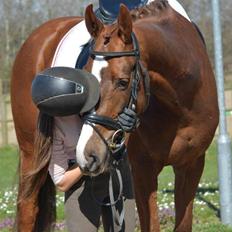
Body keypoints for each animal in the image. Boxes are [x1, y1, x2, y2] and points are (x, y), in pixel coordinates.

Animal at [10, 0, 218, 232]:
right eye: (85, 76)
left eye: (123, 82)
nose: (88, 154)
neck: (180, 105)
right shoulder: (143, 171)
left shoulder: (191, 166)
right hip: (31, 153)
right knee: (28, 207)